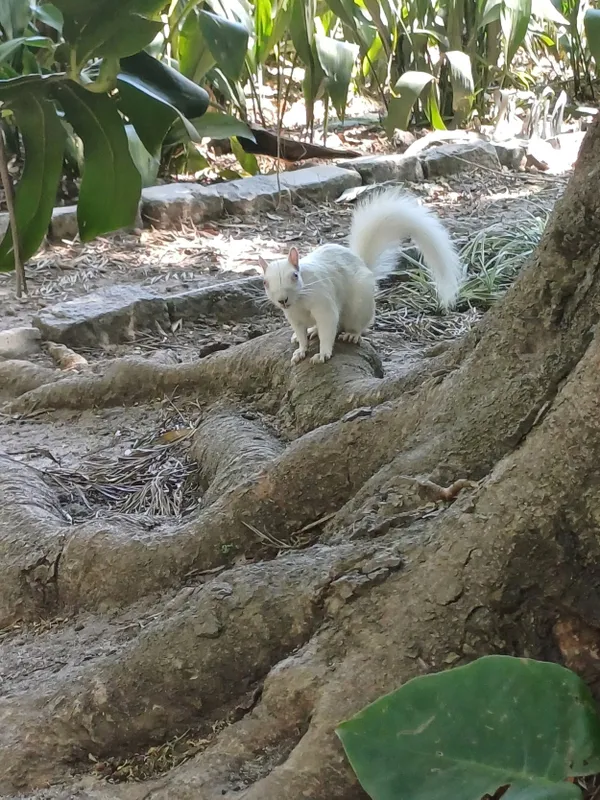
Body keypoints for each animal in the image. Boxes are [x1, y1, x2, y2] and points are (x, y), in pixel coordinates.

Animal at [259, 188, 463, 366]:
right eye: (265, 283)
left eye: (295, 275)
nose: (282, 300)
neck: (299, 300)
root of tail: (364, 266)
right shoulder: (293, 317)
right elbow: (301, 334)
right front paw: (301, 350)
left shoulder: (323, 304)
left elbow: (328, 327)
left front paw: (323, 354)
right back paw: (311, 330)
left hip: (359, 307)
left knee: (356, 325)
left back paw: (351, 334)